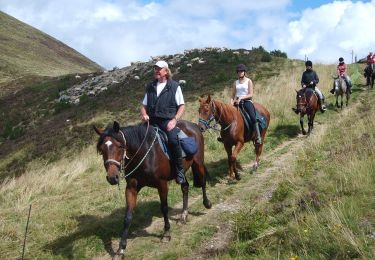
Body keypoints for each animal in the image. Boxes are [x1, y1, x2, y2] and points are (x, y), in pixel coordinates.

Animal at [93, 120, 212, 256]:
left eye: (120, 146)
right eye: (101, 150)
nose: (112, 178)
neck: (144, 155)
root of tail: (193, 125)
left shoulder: (162, 184)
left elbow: (164, 208)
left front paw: (166, 234)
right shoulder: (131, 188)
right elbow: (128, 216)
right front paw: (120, 249)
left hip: (198, 162)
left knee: (202, 181)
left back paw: (207, 203)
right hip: (180, 173)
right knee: (185, 187)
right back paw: (183, 215)